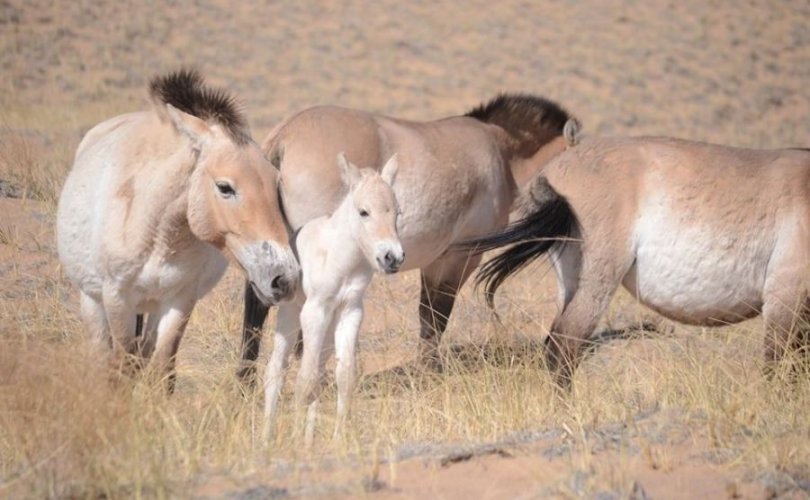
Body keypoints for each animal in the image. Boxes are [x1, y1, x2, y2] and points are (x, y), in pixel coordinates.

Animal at [57, 68, 296, 384]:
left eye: (276, 183)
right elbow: (121, 369)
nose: (284, 278)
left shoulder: (179, 301)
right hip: (92, 301)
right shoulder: (117, 299)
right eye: (225, 187)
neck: (158, 236)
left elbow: (161, 368)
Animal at [237, 95, 576, 380]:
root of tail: (285, 137)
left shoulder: (435, 261)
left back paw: (247, 380)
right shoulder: (460, 258)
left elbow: (427, 314)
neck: (501, 152)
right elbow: (439, 315)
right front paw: (432, 371)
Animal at [264, 151, 402, 442]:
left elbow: (344, 376)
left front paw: (338, 439)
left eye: (397, 212)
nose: (392, 258)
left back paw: (308, 439)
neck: (341, 258)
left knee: (318, 371)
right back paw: (264, 439)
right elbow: (303, 380)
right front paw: (294, 440)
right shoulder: (314, 311)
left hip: (328, 328)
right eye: (364, 212)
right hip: (292, 315)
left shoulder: (351, 311)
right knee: (276, 370)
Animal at [460, 135, 808, 384]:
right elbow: (779, 364)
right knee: (565, 343)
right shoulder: (784, 296)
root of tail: (554, 173)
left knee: (554, 343)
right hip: (599, 281)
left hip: (572, 279)